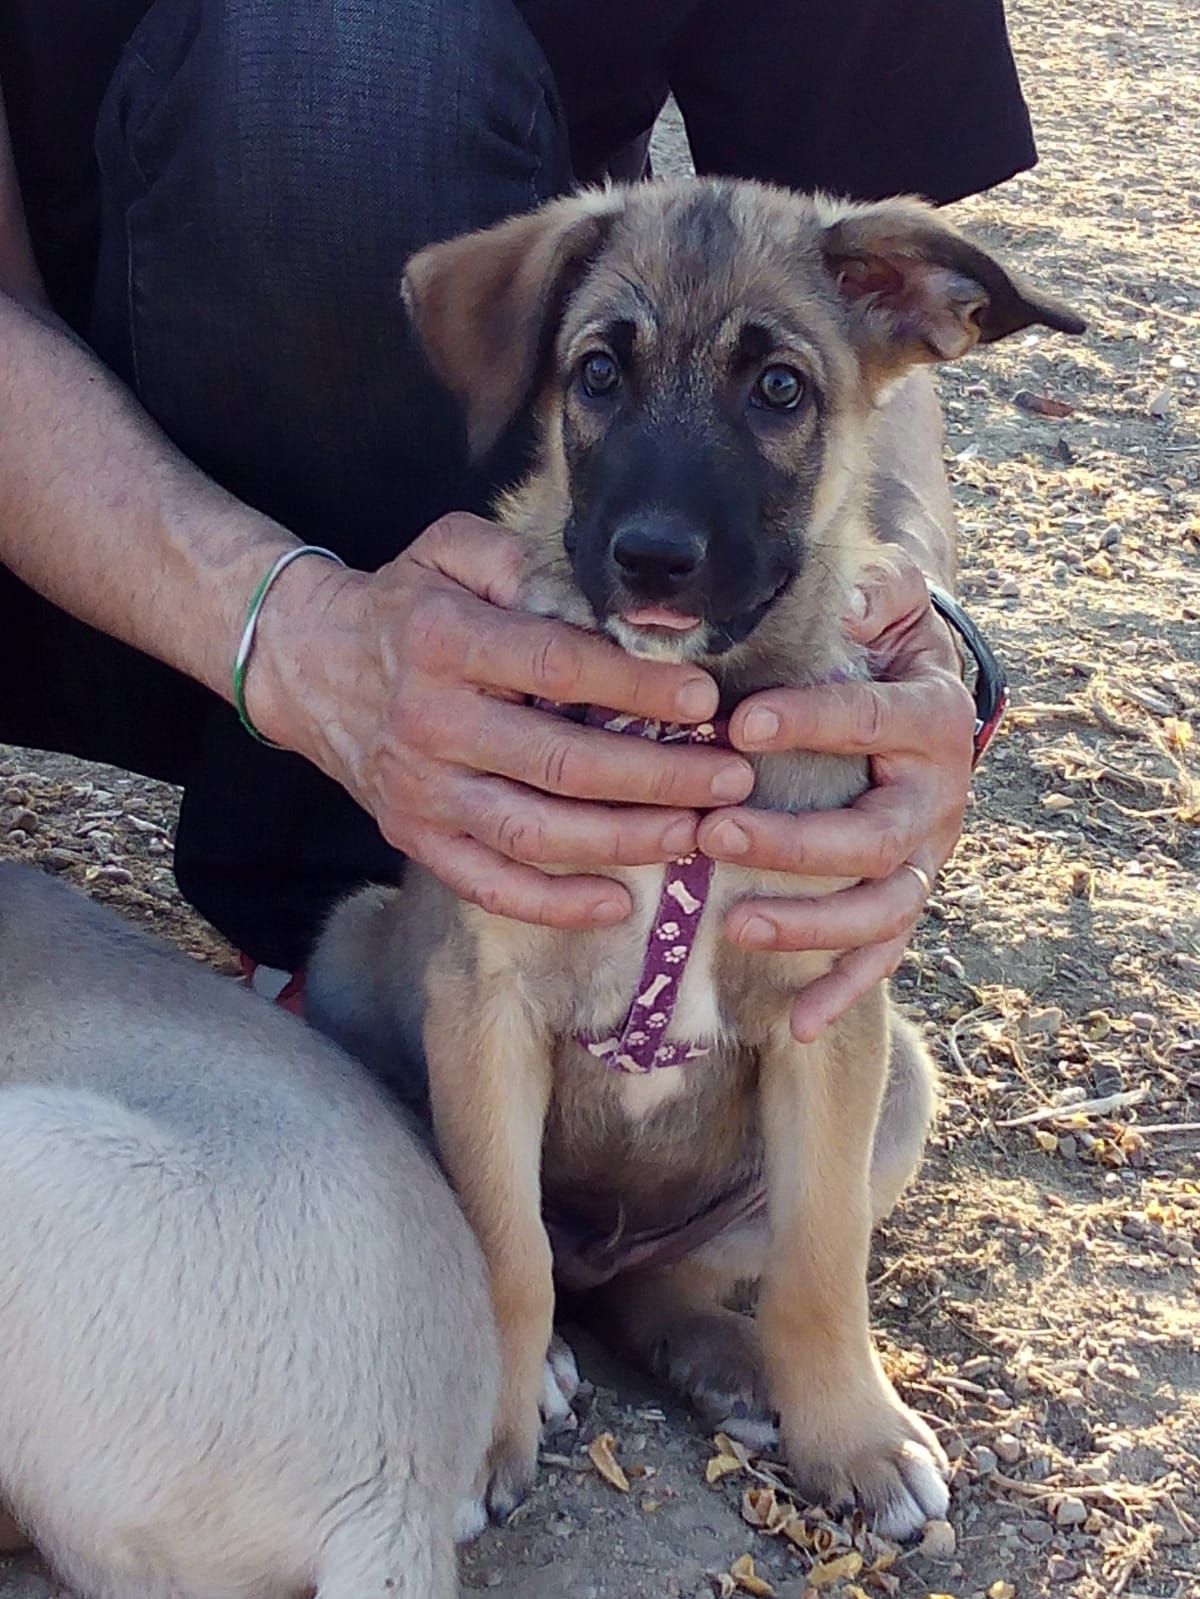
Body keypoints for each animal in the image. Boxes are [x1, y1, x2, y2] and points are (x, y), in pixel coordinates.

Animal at [308, 177, 1085, 1539]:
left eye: (778, 389)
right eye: (598, 373)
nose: (654, 558)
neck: (694, 721)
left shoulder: (832, 1022)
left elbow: (821, 1263)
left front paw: (852, 1430)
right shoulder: (486, 1004)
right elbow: (503, 1245)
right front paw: (491, 1417)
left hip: (901, 1081)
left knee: (677, 1279)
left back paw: (723, 1357)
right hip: (353, 954)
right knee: (556, 1264)